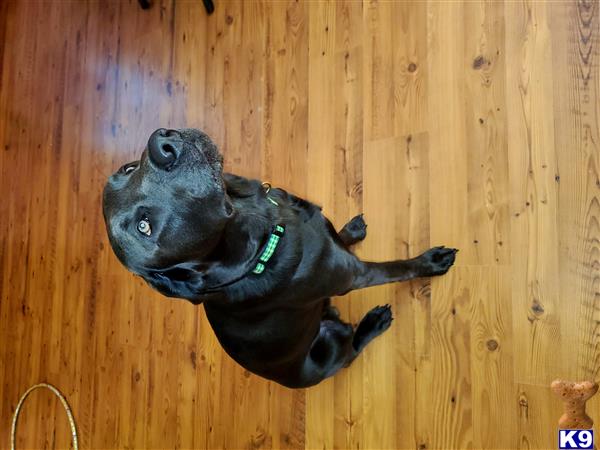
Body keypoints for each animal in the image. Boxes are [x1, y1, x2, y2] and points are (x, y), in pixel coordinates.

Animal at [102, 128, 454, 388]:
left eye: (128, 169)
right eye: (145, 226)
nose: (160, 145)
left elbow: (335, 236)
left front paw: (348, 231)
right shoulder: (354, 275)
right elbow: (397, 268)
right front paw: (432, 262)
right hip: (330, 346)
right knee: (351, 350)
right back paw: (374, 322)